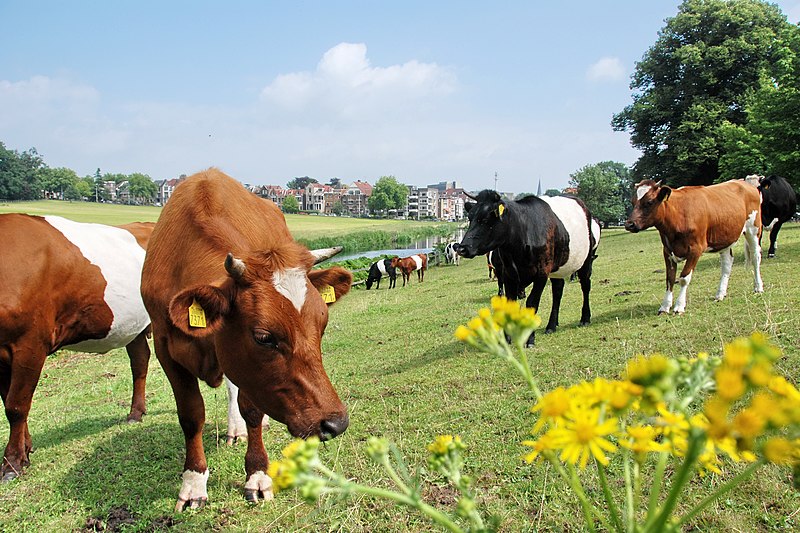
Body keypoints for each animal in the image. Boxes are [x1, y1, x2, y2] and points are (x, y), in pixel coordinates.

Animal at [0, 214, 153, 480]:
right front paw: (26, 449)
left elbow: (16, 406)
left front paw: (12, 463)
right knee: (140, 361)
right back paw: (136, 412)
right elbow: (9, 400)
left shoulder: (30, 343)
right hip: (132, 325)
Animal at [139, 168, 352, 510]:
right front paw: (193, 482)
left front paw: (257, 474)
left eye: (322, 324)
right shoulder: (164, 347)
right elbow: (191, 414)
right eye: (264, 337)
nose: (335, 423)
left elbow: (251, 409)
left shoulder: (252, 374)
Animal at [456, 190, 600, 344]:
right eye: (470, 218)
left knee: (585, 285)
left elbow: (532, 303)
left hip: (586, 259)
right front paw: (507, 339)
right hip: (557, 269)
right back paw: (551, 325)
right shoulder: (508, 273)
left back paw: (585, 318)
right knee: (558, 291)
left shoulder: (542, 273)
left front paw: (530, 339)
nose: (462, 248)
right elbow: (510, 303)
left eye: (486, 219)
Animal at [620, 179, 764, 314]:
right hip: (725, 237)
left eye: (649, 202)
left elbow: (684, 278)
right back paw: (720, 294)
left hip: (753, 229)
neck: (677, 216)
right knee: (727, 264)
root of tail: (744, 183)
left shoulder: (696, 249)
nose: (629, 224)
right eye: (633, 202)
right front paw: (665, 306)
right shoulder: (667, 251)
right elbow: (670, 279)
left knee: (756, 257)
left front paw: (679, 306)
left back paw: (758, 287)